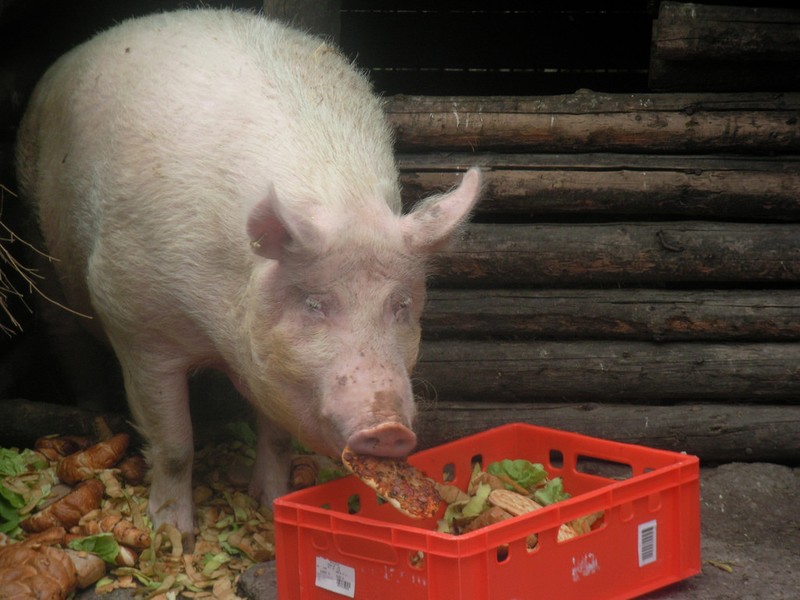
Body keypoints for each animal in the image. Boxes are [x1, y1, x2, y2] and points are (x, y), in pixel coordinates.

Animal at [15, 8, 482, 544]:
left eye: (400, 305)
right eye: (315, 303)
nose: (388, 428)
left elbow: (276, 436)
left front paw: (269, 501)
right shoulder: (134, 321)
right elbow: (174, 443)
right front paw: (175, 535)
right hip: (41, 245)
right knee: (67, 339)